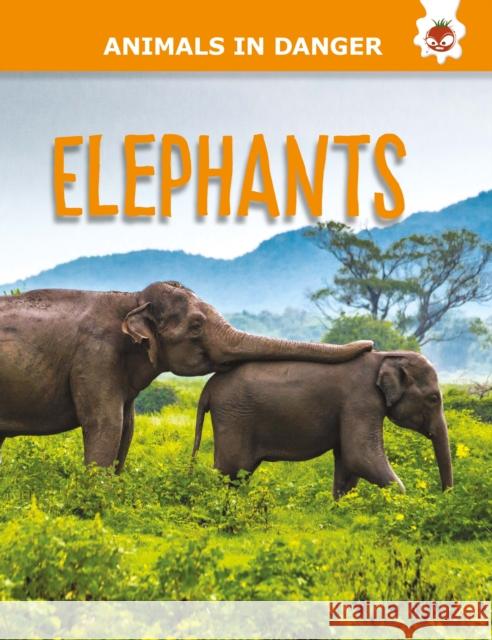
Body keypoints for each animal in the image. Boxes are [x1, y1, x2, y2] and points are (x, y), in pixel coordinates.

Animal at [0, 282, 372, 470]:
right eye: (195, 325)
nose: (369, 345)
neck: (131, 299)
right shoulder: (94, 356)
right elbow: (106, 425)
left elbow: (127, 428)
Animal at [191, 351, 453, 498]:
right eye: (433, 398)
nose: (444, 497)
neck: (386, 357)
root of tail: (208, 388)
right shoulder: (361, 401)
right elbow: (360, 456)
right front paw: (403, 503)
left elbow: (348, 462)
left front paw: (340, 508)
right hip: (234, 417)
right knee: (230, 470)